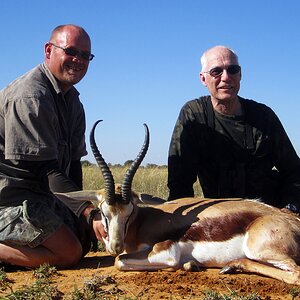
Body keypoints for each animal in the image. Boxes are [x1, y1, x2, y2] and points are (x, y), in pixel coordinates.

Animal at [72, 120, 300, 286]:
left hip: (259, 250)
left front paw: (186, 265)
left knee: (295, 274)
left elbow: (121, 262)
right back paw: (227, 266)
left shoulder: (165, 252)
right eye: (103, 212)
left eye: (130, 212)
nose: (115, 246)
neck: (141, 223)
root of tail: (292, 221)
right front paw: (192, 265)